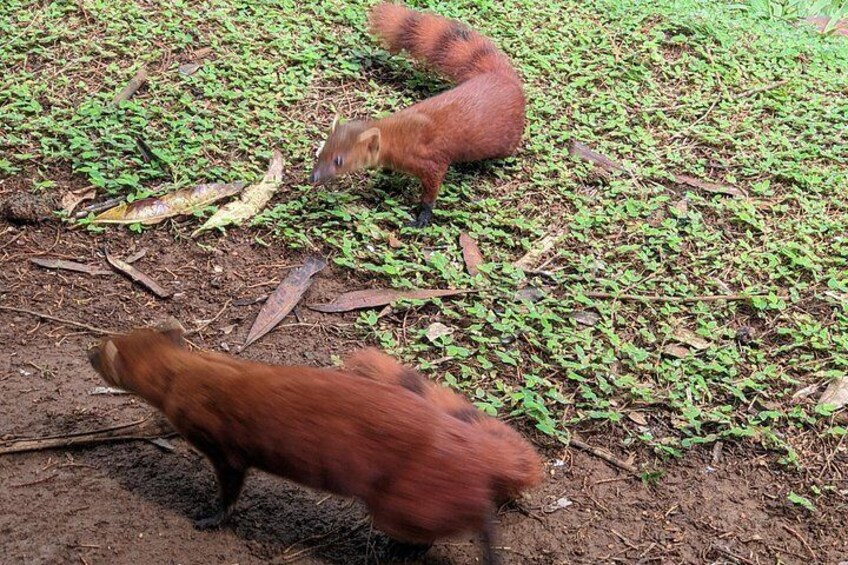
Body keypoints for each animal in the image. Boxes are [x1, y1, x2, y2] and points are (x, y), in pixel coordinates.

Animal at [86, 322, 542, 564]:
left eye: (99, 350)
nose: (87, 348)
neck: (195, 372)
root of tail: (458, 435)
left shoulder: (220, 444)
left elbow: (230, 486)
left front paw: (208, 517)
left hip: (404, 500)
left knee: (471, 517)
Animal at [308, 2, 525, 228]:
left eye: (339, 160)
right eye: (321, 152)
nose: (312, 178)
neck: (401, 133)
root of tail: (501, 75)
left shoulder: (432, 164)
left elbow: (429, 197)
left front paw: (420, 219)